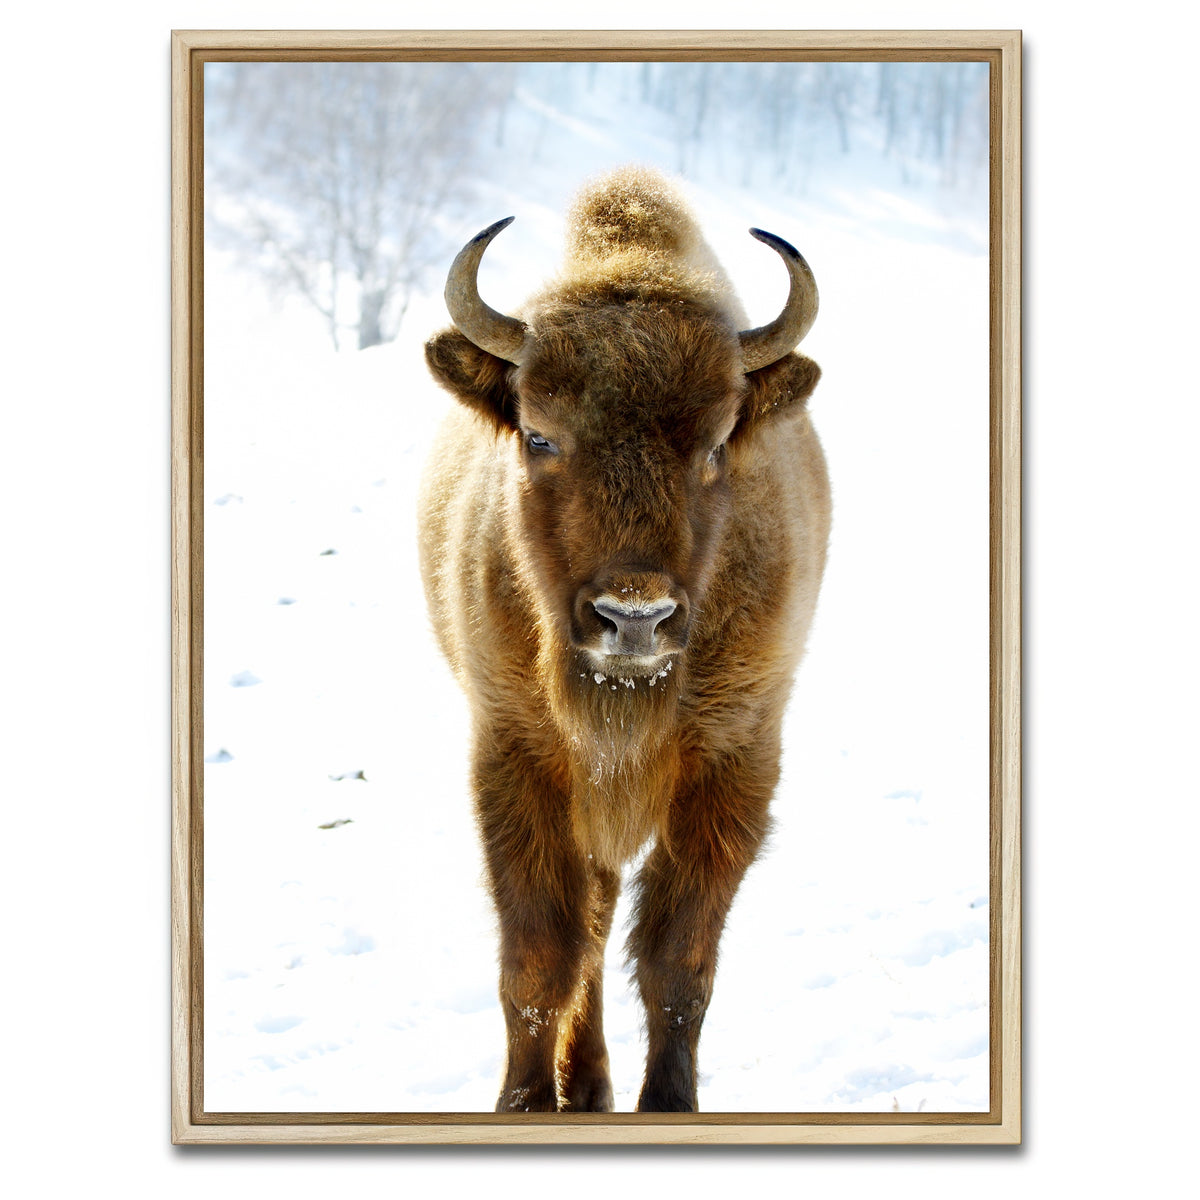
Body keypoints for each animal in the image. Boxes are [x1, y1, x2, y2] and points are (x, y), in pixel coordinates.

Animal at [420, 167, 830, 1112]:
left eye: (716, 444)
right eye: (538, 434)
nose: (633, 616)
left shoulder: (733, 762)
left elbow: (679, 964)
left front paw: (668, 1105)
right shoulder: (519, 756)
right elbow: (540, 957)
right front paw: (525, 1106)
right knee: (591, 928)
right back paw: (588, 1084)